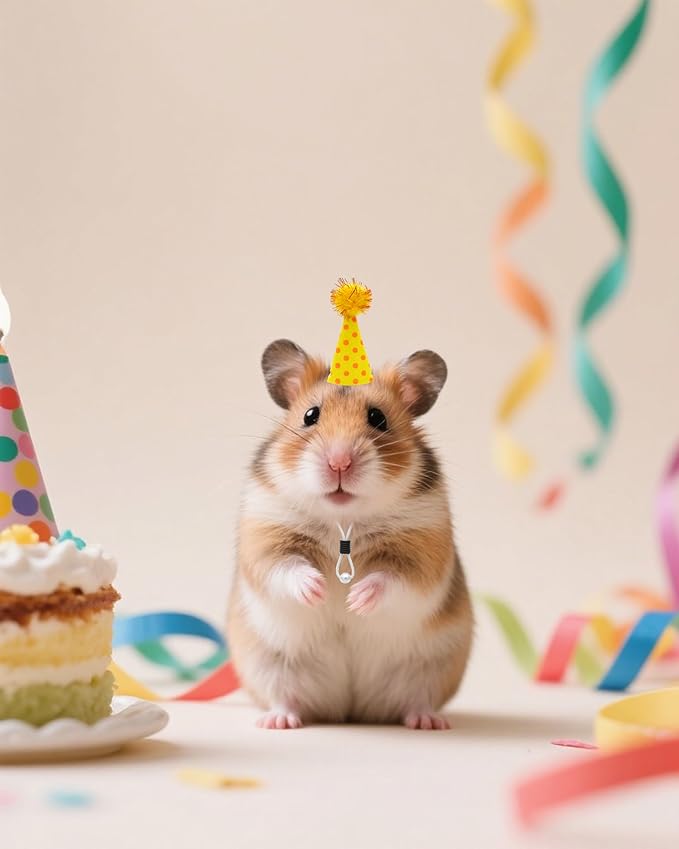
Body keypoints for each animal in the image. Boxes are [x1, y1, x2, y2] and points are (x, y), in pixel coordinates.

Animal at [227, 339, 473, 729]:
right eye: (310, 416)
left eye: (378, 418)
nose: (339, 462)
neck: (343, 519)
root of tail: (350, 708)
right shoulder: (265, 540)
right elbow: (286, 569)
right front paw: (320, 591)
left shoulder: (423, 552)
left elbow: (392, 579)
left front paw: (354, 600)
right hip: (268, 665)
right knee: (285, 697)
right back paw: (279, 721)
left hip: (433, 668)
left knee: (417, 699)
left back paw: (428, 722)